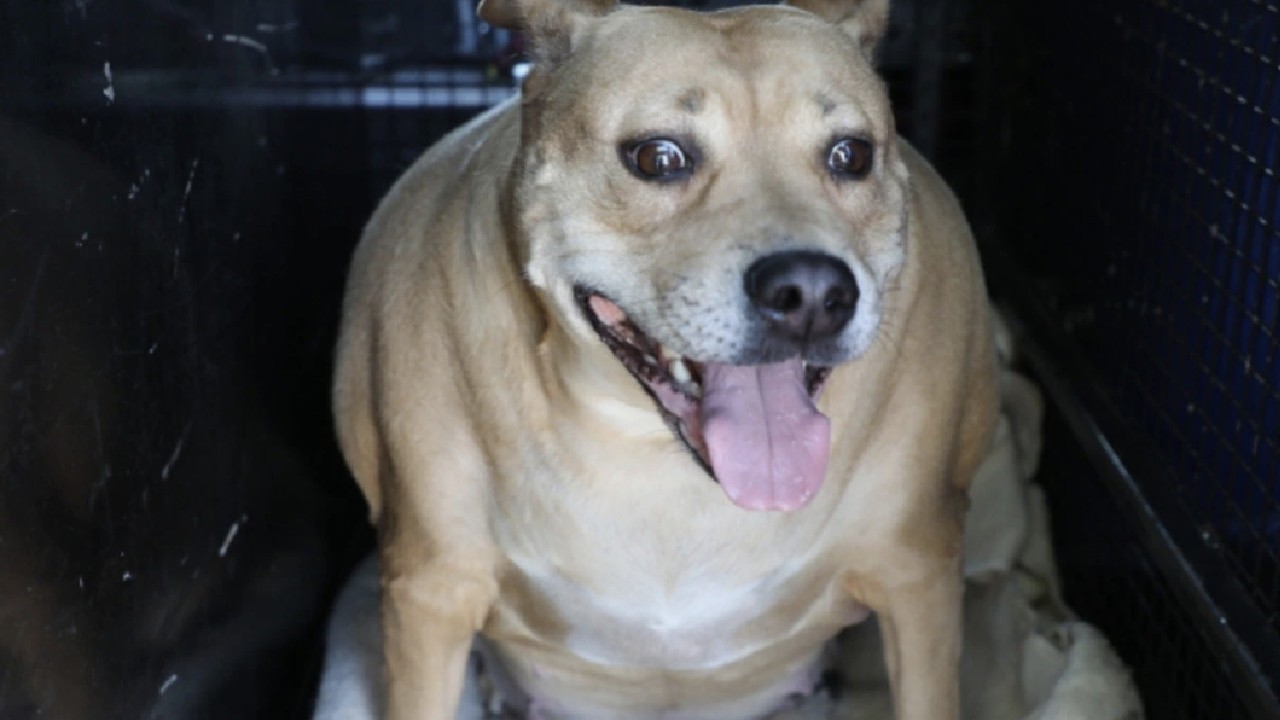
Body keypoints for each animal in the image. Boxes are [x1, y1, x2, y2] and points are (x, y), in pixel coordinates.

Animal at [330, 0, 998, 718]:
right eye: (658, 157)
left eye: (852, 154)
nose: (812, 296)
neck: (655, 457)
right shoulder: (431, 594)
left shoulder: (917, 575)